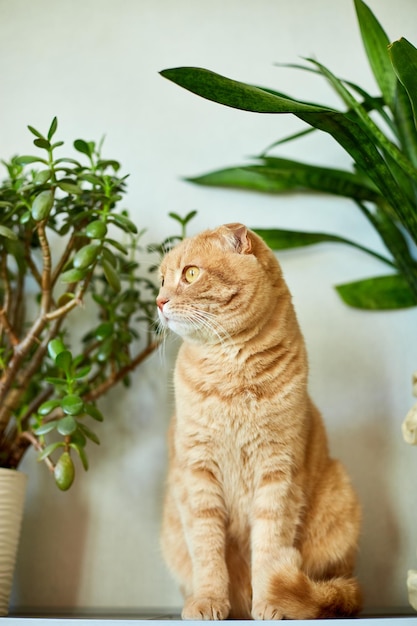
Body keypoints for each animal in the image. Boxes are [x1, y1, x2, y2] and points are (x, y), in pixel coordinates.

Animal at [157, 222, 360, 616]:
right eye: (160, 280)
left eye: (190, 274)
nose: (159, 302)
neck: (231, 374)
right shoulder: (197, 472)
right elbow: (207, 552)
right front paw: (208, 601)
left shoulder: (277, 474)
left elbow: (270, 550)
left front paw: (270, 601)